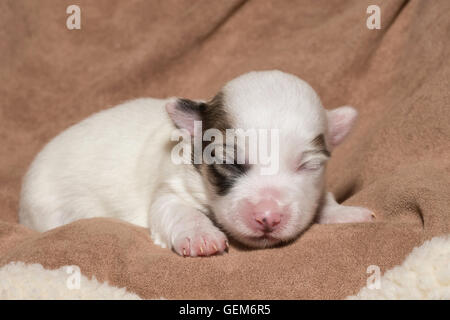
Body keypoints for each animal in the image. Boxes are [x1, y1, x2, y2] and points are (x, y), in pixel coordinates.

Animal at [19, 70, 374, 258]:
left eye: (308, 166)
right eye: (230, 162)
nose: (268, 217)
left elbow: (323, 198)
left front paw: (343, 212)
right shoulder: (172, 187)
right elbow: (177, 210)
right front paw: (200, 236)